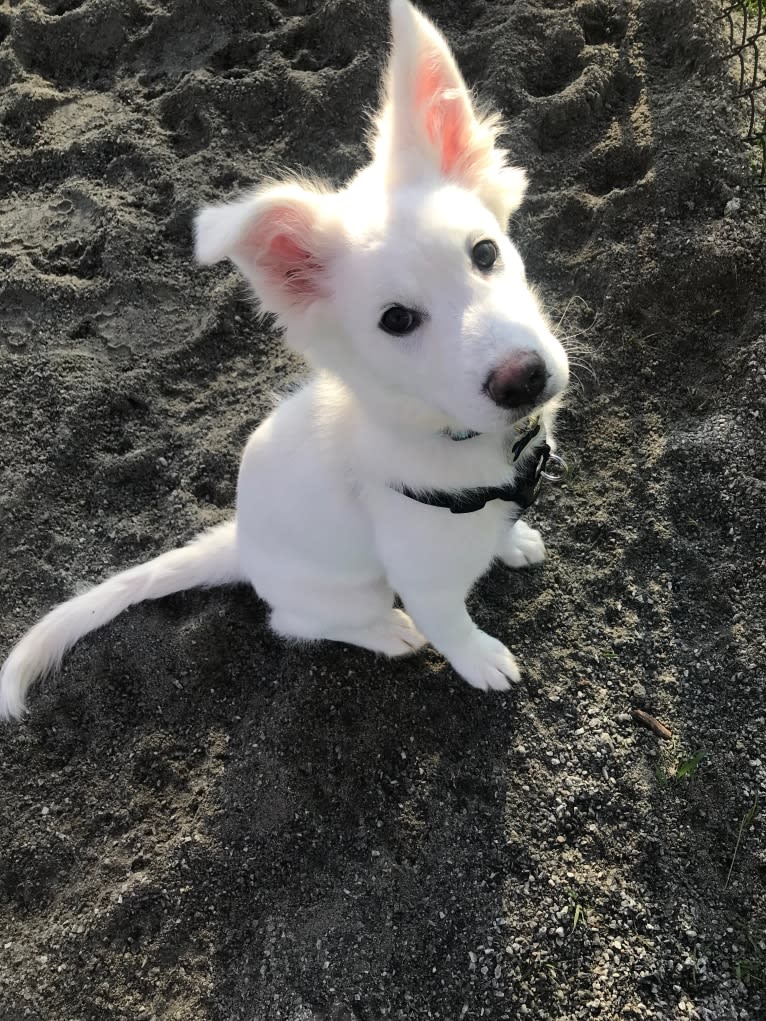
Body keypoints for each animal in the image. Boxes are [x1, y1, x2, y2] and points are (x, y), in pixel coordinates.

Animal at [0, 0, 571, 722]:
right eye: (396, 320)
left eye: (486, 252)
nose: (523, 378)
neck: (450, 437)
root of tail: (240, 545)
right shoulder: (424, 576)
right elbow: (451, 626)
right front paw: (480, 661)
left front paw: (511, 541)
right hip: (346, 591)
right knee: (298, 622)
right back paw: (384, 631)